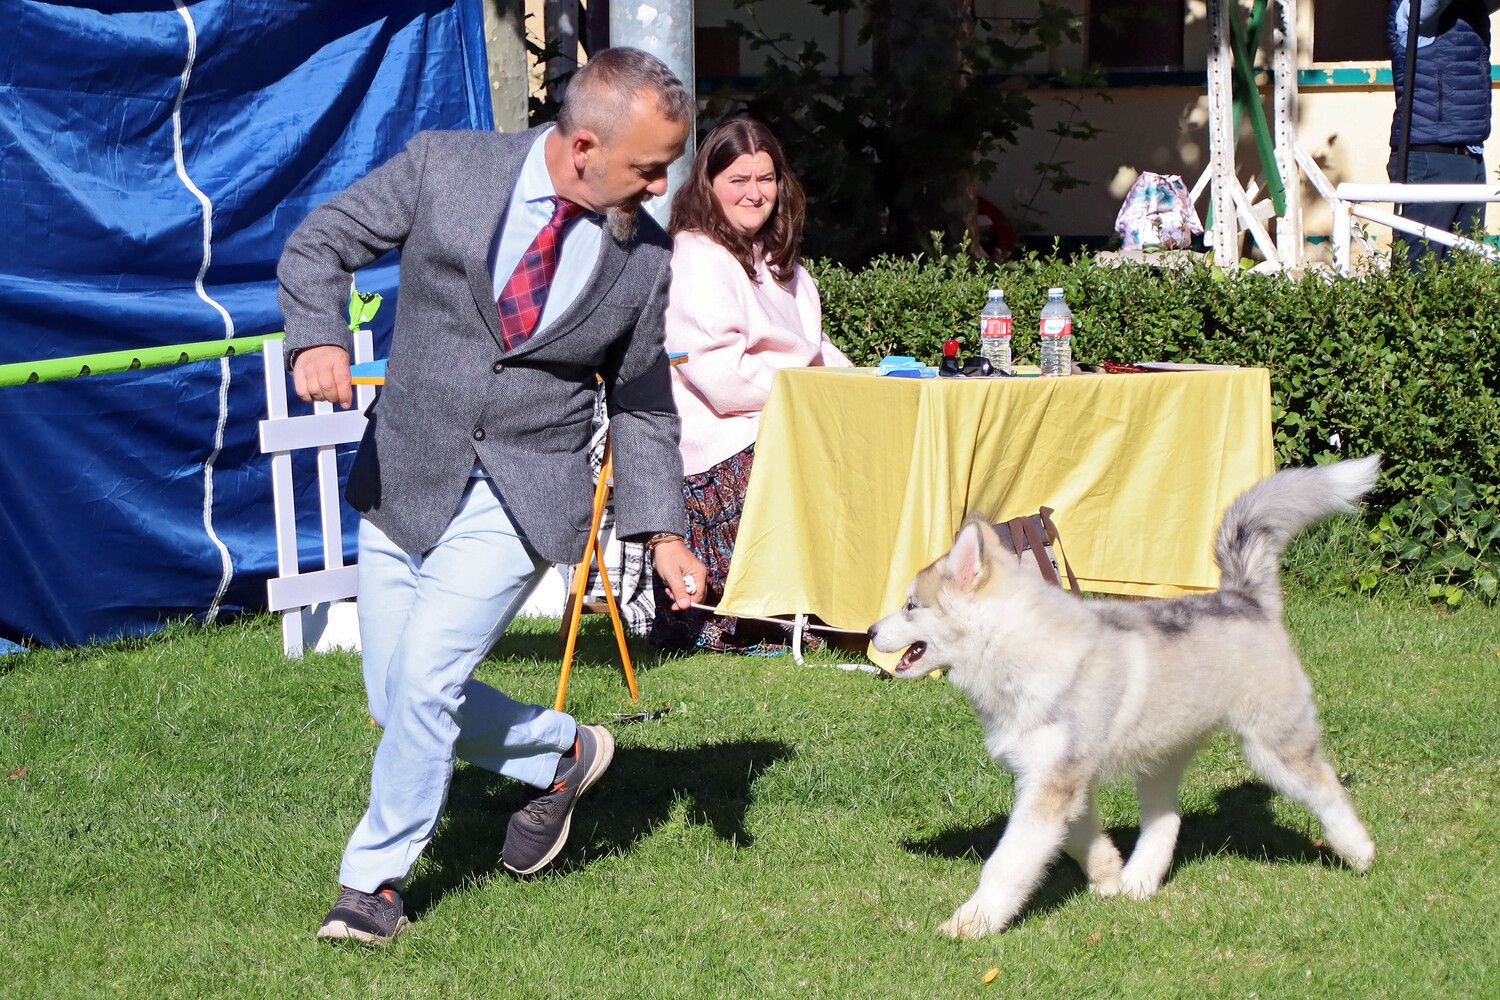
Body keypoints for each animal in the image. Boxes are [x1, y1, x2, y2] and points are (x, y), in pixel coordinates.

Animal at [870, 452, 1380, 941]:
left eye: (911, 605)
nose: (872, 630)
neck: (1020, 650)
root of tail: (1244, 598)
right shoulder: (1055, 778)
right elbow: (1077, 838)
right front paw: (1108, 875)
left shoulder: (1052, 783)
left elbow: (1007, 862)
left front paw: (970, 924)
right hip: (1158, 759)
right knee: (1167, 821)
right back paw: (1139, 882)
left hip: (1273, 747)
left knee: (1327, 788)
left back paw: (1359, 852)